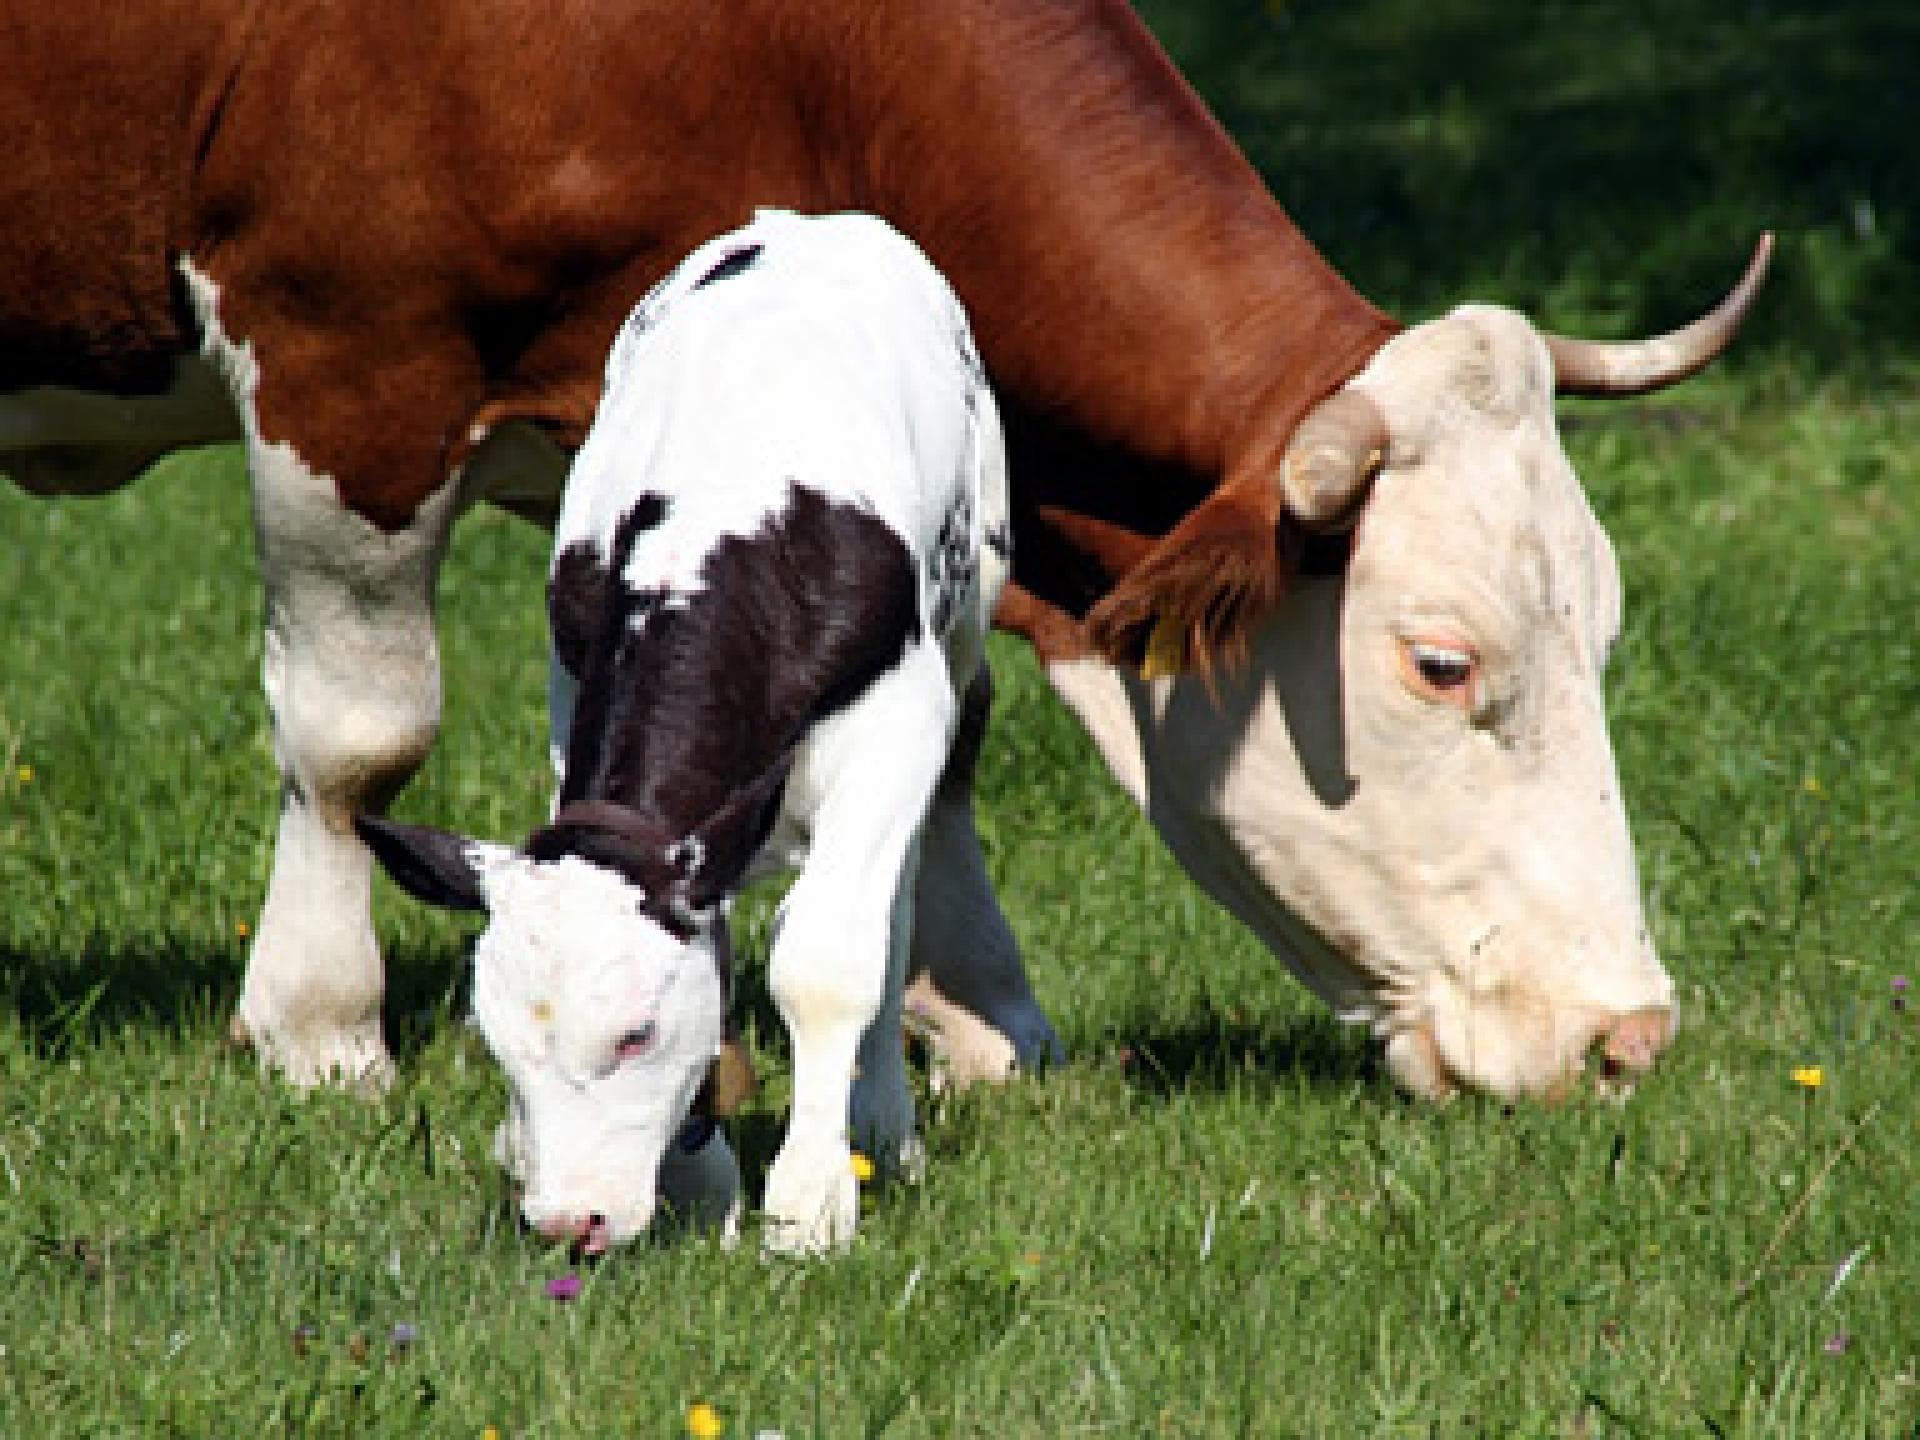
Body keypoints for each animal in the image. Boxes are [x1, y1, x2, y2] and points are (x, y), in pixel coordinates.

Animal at [0, 0, 1766, 1103]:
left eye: (1605, 635)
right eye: (1440, 662)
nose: (1629, 1036)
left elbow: (939, 743)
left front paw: (974, 1018)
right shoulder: (345, 361)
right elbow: (360, 739)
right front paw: (321, 1029)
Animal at [358, 210, 1008, 1253]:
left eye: (635, 1033)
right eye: (499, 1042)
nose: (566, 1220)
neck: (723, 529)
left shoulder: (896, 723)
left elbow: (828, 956)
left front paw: (811, 1201)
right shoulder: (574, 694)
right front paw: (706, 1182)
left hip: (967, 611)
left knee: (893, 903)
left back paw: (882, 1124)